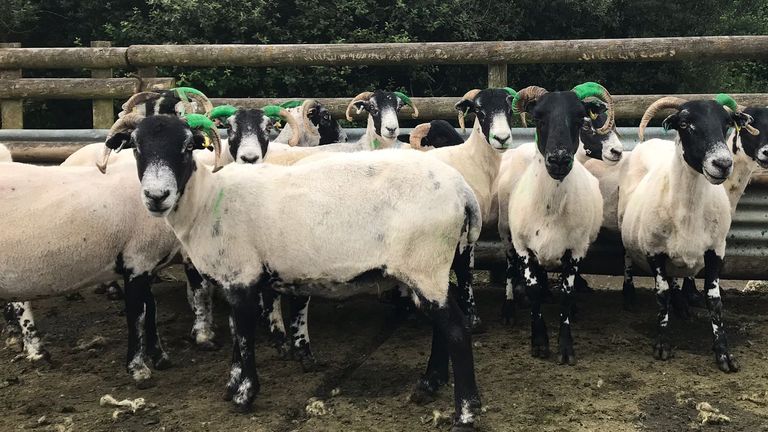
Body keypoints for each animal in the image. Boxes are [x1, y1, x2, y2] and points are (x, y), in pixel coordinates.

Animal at [96, 111, 480, 428]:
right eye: (136, 147)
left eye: (187, 146)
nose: (156, 196)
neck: (207, 201)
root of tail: (462, 189)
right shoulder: (234, 277)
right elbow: (236, 333)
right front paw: (232, 385)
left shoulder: (243, 275)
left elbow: (245, 336)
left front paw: (244, 395)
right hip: (429, 267)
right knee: (441, 327)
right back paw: (427, 386)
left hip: (425, 261)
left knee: (457, 329)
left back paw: (465, 413)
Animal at [498, 82, 612, 364]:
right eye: (539, 118)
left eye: (580, 118)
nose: (559, 159)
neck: (550, 209)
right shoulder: (525, 248)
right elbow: (533, 291)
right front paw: (539, 343)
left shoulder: (576, 250)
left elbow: (566, 295)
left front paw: (566, 347)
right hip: (507, 236)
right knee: (510, 270)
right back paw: (508, 310)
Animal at [616, 94, 752, 372]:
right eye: (685, 124)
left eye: (726, 124)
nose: (723, 164)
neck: (688, 211)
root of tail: (652, 141)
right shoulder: (654, 251)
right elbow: (662, 294)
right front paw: (662, 345)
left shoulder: (715, 251)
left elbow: (714, 300)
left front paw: (724, 354)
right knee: (628, 259)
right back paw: (629, 295)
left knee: (676, 278)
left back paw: (681, 307)